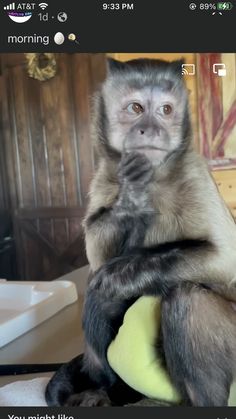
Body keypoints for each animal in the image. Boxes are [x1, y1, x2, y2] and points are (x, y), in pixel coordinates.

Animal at [45, 58, 236, 406]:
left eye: (165, 110)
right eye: (136, 108)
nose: (152, 129)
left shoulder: (194, 172)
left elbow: (225, 258)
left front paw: (122, 272)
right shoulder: (104, 176)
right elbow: (96, 255)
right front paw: (132, 197)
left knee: (186, 298)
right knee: (99, 295)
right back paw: (111, 391)